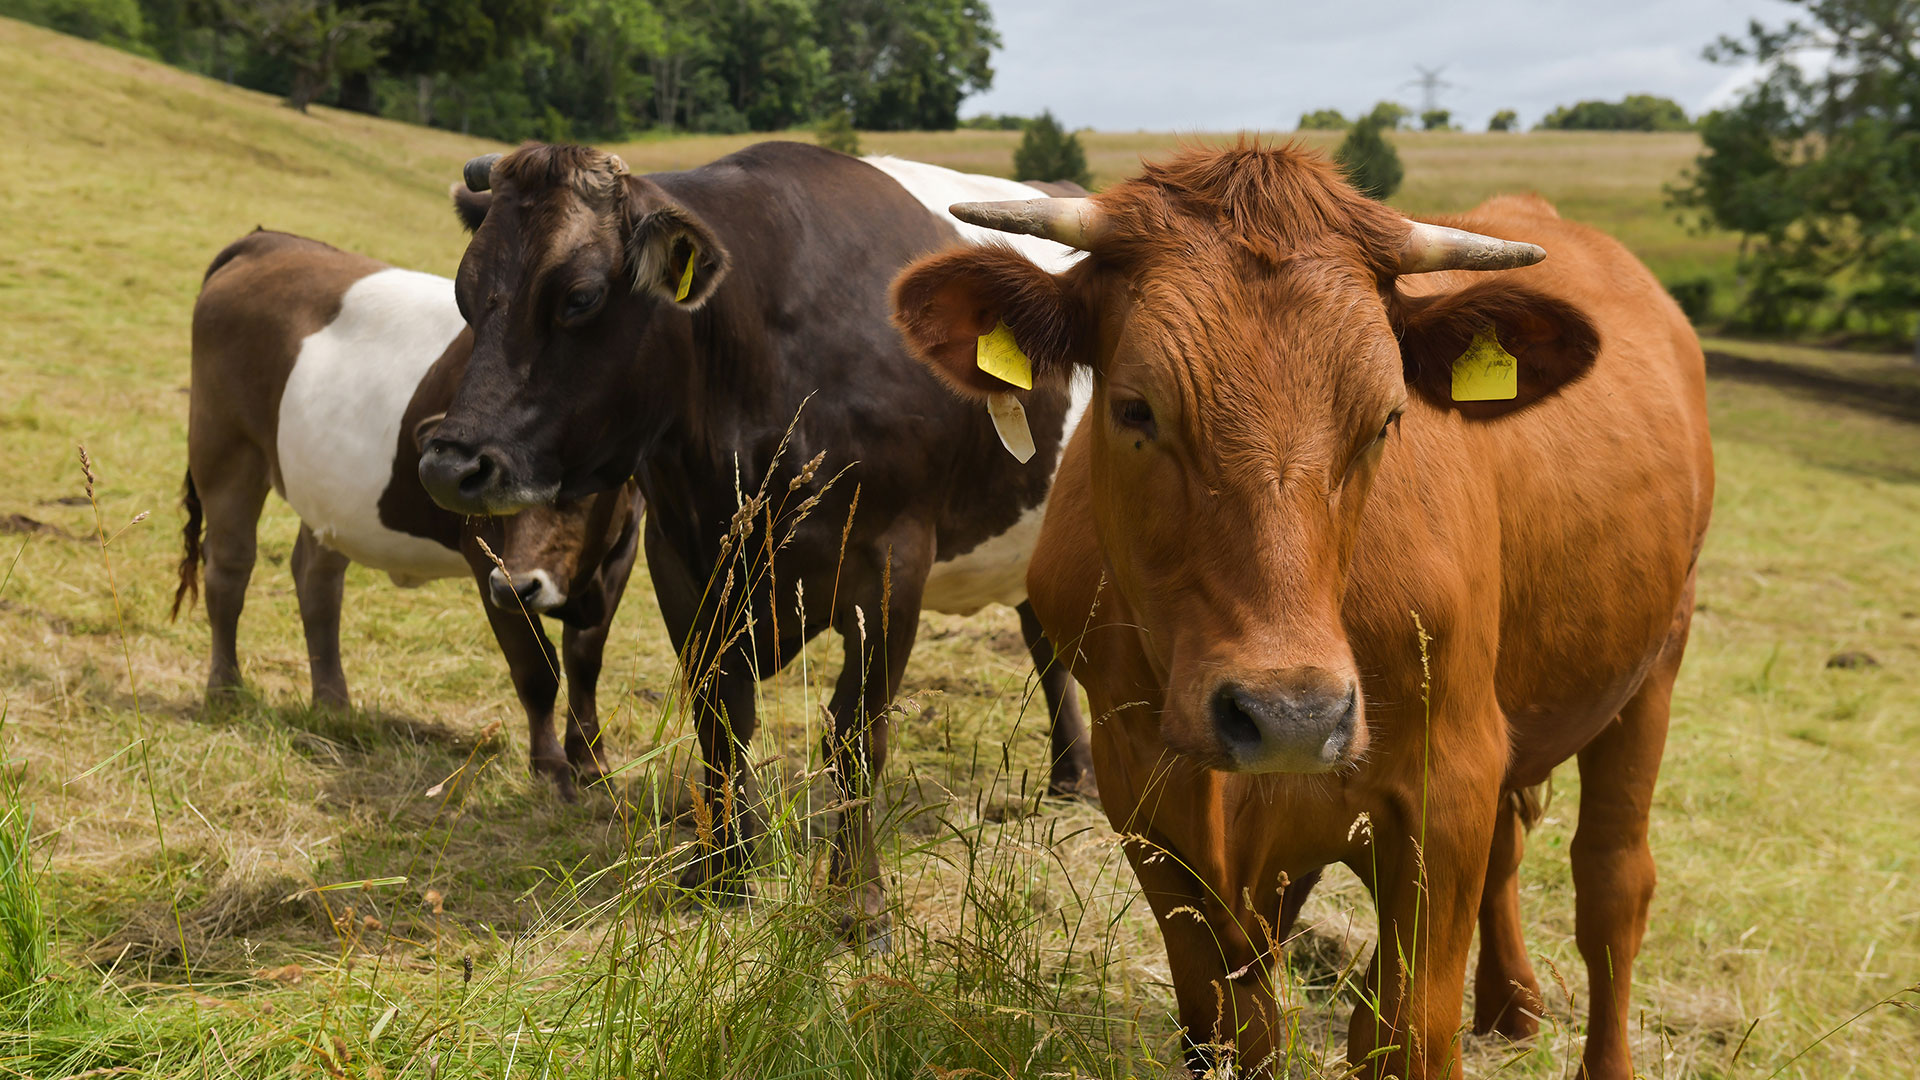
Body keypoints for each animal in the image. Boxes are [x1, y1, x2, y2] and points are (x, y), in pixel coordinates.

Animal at [175, 230, 642, 800]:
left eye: (584, 482)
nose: (518, 585)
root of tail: (268, 240)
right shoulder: (485, 555)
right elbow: (537, 668)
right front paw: (552, 767)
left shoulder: (621, 551)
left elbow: (585, 661)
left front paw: (594, 764)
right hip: (224, 447)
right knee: (230, 569)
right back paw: (226, 689)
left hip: (328, 489)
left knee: (316, 579)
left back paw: (333, 705)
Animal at [414, 141, 1100, 945]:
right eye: (464, 293)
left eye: (579, 296)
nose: (449, 465)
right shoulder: (681, 558)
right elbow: (722, 719)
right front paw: (724, 871)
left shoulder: (894, 557)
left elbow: (856, 734)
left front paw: (857, 899)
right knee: (1048, 649)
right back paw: (1069, 774)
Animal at [890, 143, 1713, 1079]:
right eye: (1135, 408)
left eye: (1388, 418)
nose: (1290, 716)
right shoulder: (1143, 787)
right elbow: (1227, 1023)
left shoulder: (1450, 777)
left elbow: (1410, 1031)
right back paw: (1510, 1008)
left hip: (1656, 661)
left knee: (1611, 884)